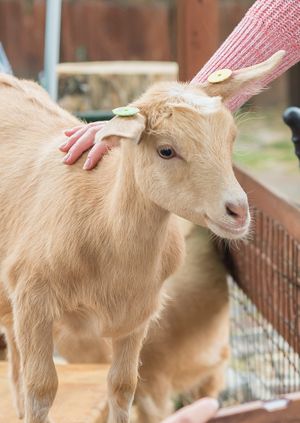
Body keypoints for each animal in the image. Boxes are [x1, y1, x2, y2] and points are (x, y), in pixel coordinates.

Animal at [0, 52, 282, 423]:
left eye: (231, 138)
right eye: (166, 150)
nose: (237, 211)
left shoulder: (136, 317)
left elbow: (122, 388)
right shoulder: (34, 301)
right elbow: (41, 390)